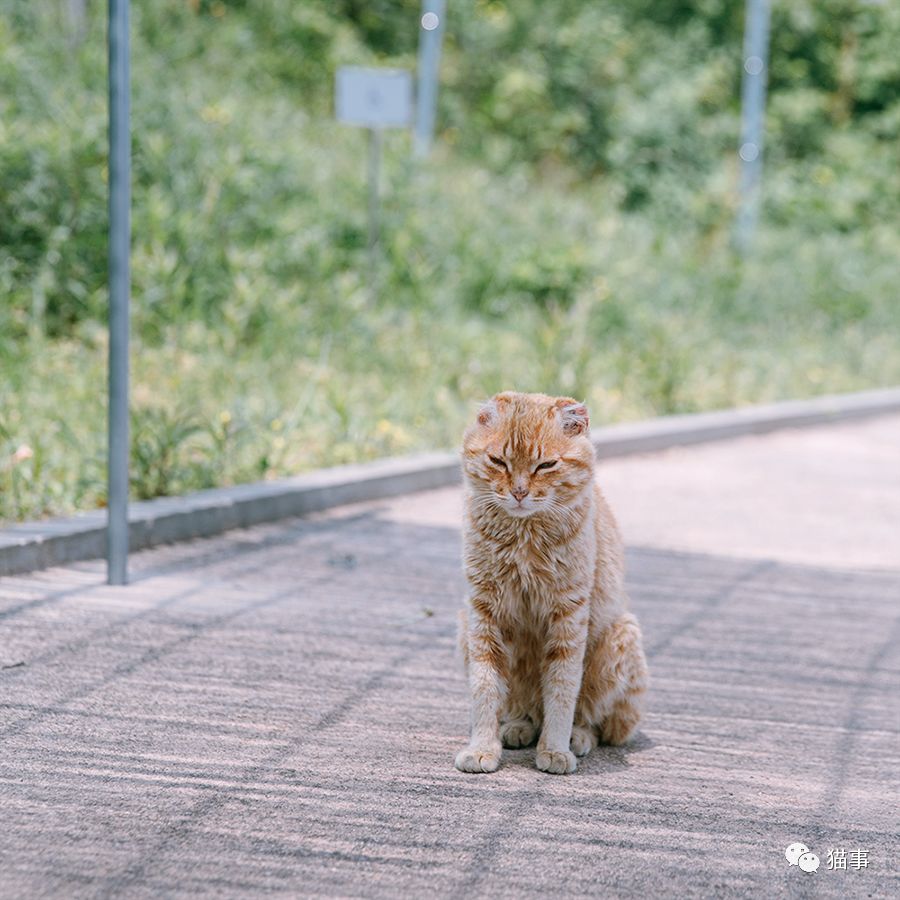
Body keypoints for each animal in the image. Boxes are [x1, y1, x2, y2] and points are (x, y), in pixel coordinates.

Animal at [458, 388, 648, 772]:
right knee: (526, 710)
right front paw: (482, 748)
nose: (518, 492)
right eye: (498, 461)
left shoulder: (568, 618)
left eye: (545, 465)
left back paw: (577, 737)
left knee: (594, 719)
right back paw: (518, 726)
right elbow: (485, 688)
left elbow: (562, 689)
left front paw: (555, 749)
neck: (524, 537)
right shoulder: (483, 616)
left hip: (621, 636)